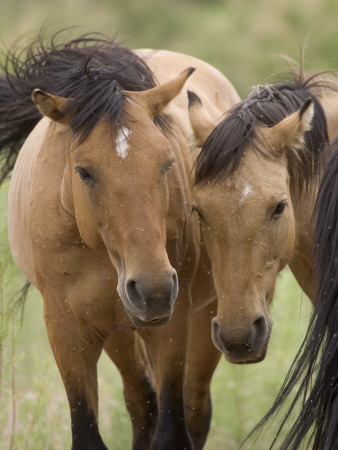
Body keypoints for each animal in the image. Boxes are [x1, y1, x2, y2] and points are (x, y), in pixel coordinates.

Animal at [0, 32, 239, 450]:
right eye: (84, 172)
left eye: (166, 163)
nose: (151, 289)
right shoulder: (67, 331)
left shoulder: (171, 324)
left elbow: (172, 429)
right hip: (119, 332)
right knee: (141, 401)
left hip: (201, 316)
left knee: (192, 407)